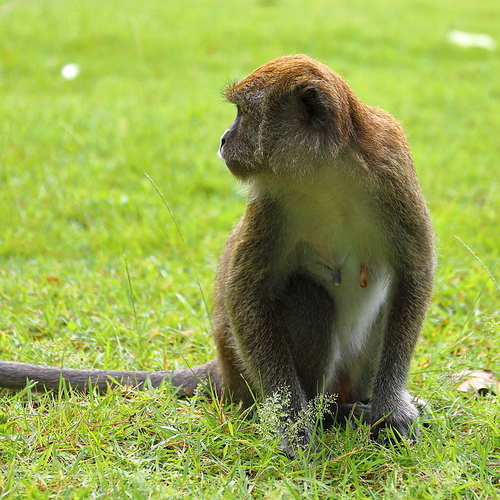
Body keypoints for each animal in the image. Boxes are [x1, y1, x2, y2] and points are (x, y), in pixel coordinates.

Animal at [0, 55, 434, 458]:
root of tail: (223, 370)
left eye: (243, 113)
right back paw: (331, 413)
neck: (325, 173)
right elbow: (244, 293)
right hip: (247, 380)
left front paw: (391, 408)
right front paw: (292, 423)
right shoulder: (271, 202)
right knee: (308, 297)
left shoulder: (390, 165)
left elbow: (414, 272)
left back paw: (362, 404)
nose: (224, 139)